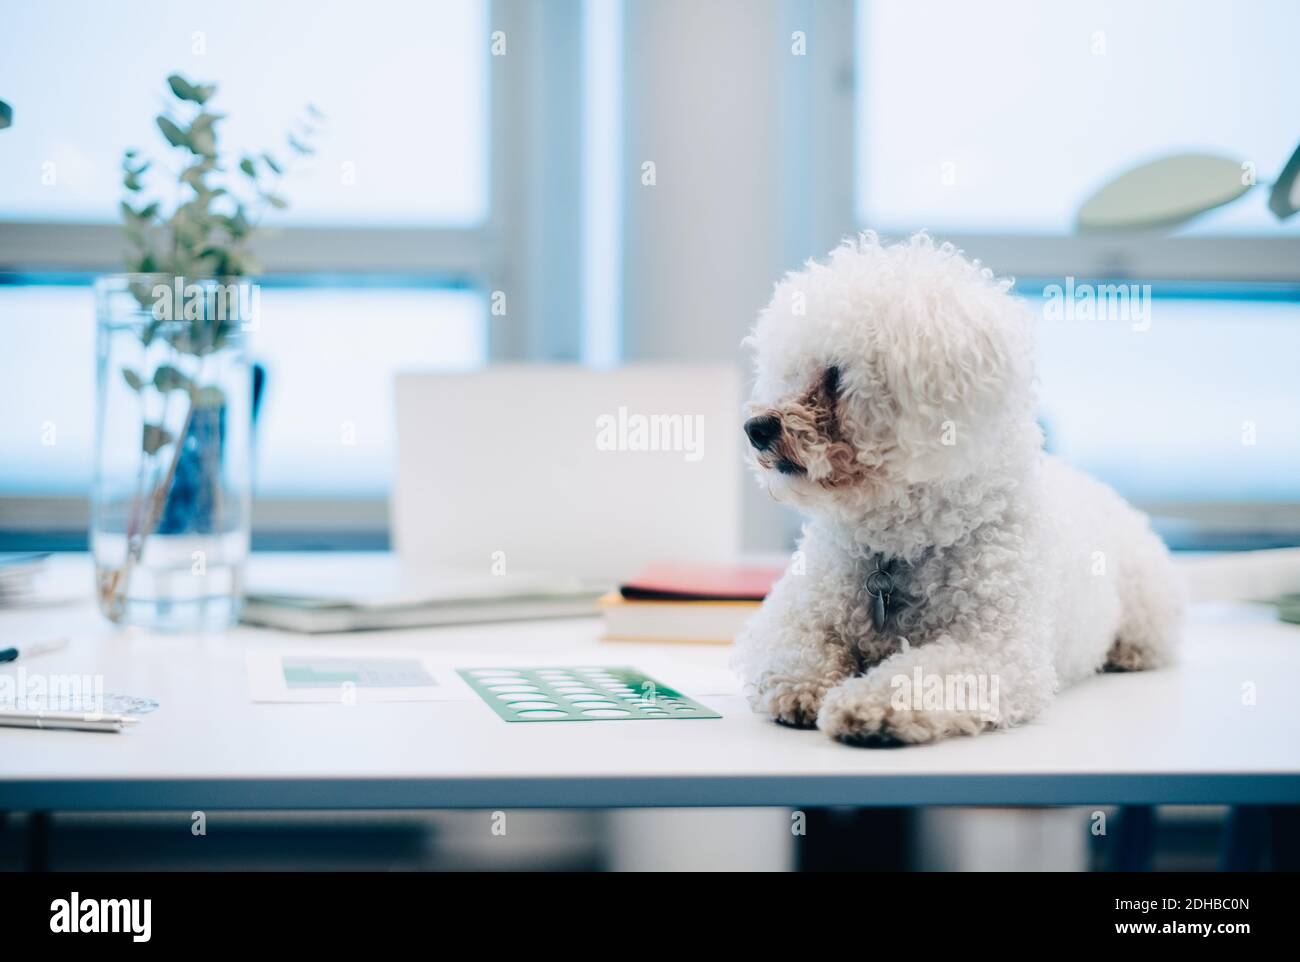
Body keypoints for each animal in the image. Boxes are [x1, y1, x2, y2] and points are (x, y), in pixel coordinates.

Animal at [738, 232, 1185, 743]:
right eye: (787, 372)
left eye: (835, 374)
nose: (755, 428)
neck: (894, 548)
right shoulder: (791, 617)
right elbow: (795, 651)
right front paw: (803, 686)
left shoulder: (996, 652)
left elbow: (921, 674)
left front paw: (866, 704)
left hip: (1147, 600)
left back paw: (1126, 654)